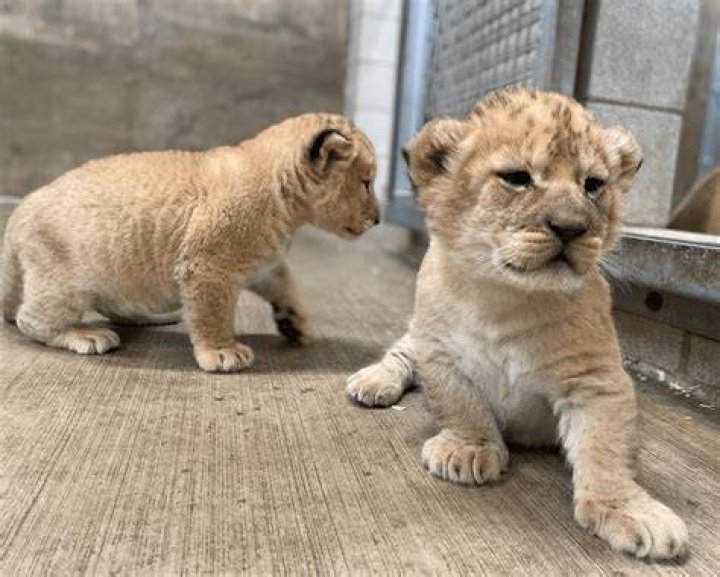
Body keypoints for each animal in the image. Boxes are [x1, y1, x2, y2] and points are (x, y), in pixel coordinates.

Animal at [2, 113, 379, 372]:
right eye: (366, 182)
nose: (378, 219)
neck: (287, 207)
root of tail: (19, 211)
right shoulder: (208, 266)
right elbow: (212, 312)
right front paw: (222, 352)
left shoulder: (264, 263)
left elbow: (286, 285)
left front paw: (295, 322)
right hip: (64, 280)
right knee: (29, 319)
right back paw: (83, 335)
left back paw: (149, 317)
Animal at [347, 88, 688, 560]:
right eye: (516, 178)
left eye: (593, 185)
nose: (572, 227)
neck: (509, 299)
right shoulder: (439, 354)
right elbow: (461, 403)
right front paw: (469, 450)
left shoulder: (598, 380)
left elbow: (604, 447)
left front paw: (628, 509)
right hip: (417, 334)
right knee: (401, 351)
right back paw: (374, 380)